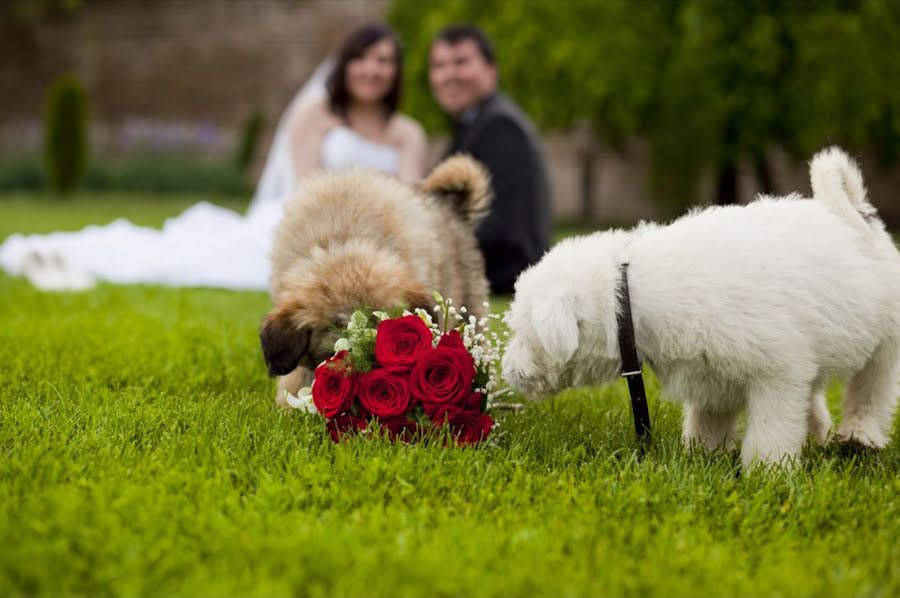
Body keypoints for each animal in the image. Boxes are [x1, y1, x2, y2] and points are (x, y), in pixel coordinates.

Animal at [506, 149, 900, 468]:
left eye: (522, 334)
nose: (506, 370)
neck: (628, 299)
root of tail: (856, 216)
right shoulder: (712, 378)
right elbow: (706, 425)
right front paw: (700, 459)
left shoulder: (778, 374)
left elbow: (770, 431)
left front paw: (767, 474)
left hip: (885, 344)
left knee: (871, 391)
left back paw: (859, 437)